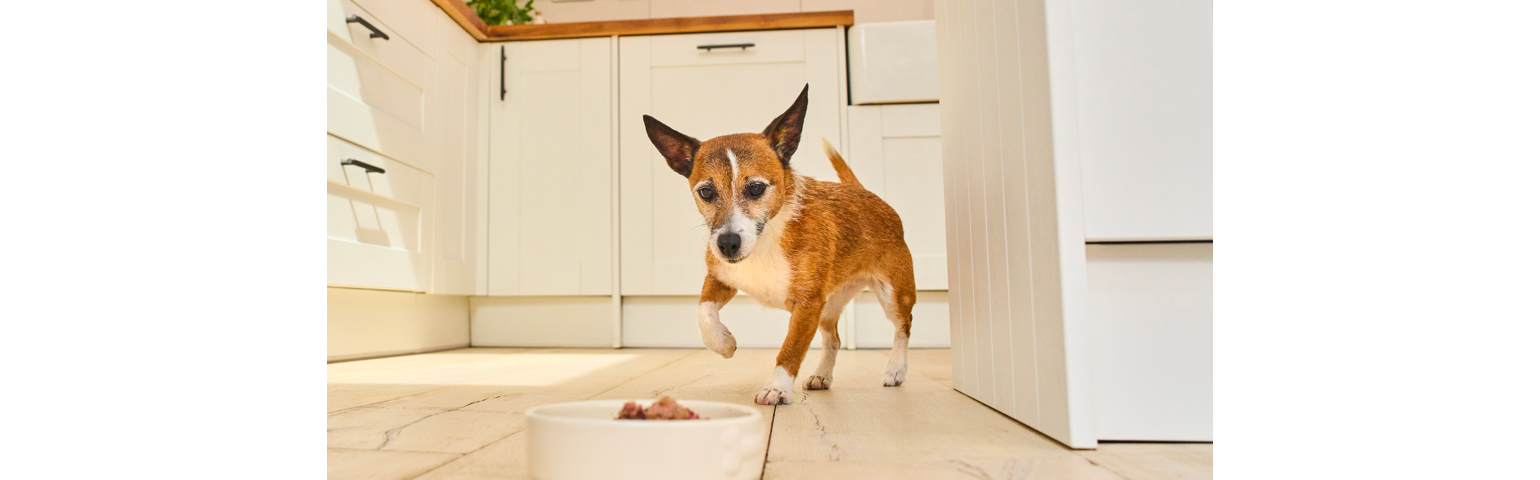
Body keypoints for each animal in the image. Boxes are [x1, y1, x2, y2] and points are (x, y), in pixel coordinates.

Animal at [640, 84, 911, 403]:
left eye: (756, 188)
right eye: (706, 192)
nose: (727, 244)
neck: (765, 238)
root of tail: (866, 193)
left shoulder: (807, 307)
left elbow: (790, 350)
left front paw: (777, 387)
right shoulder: (720, 279)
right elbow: (703, 311)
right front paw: (723, 344)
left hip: (894, 295)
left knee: (903, 328)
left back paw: (896, 370)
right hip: (828, 308)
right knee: (833, 338)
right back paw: (822, 375)